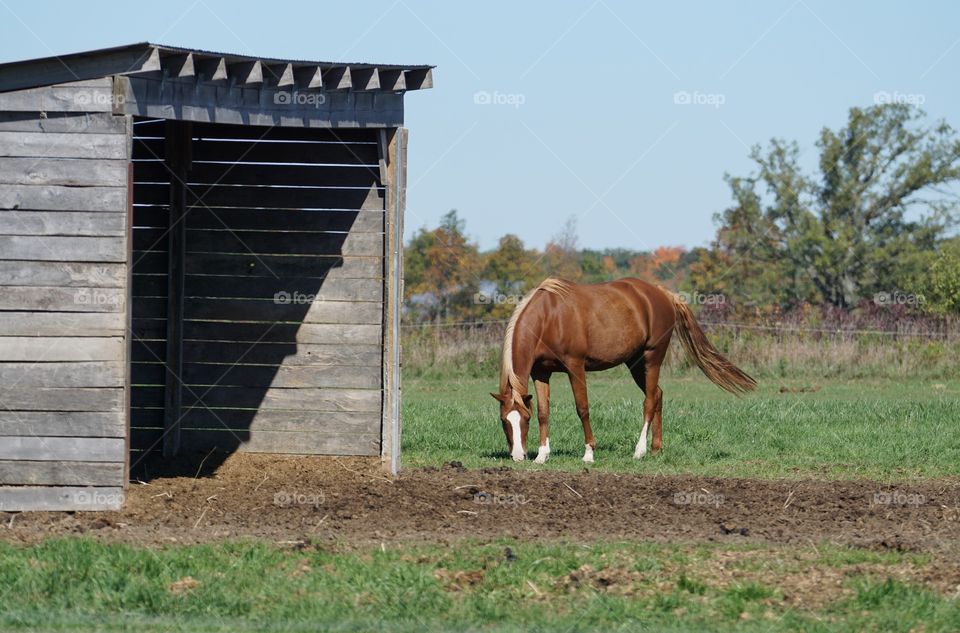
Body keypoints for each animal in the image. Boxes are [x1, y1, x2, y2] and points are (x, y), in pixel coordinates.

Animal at [492, 278, 752, 462]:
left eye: (524, 420)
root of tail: (663, 294)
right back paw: (656, 449)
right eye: (505, 421)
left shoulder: (575, 366)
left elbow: (582, 408)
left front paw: (589, 453)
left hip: (652, 358)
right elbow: (544, 412)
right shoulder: (541, 372)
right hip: (635, 363)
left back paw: (640, 450)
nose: (518, 456)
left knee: (649, 401)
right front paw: (542, 455)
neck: (548, 318)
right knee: (658, 395)